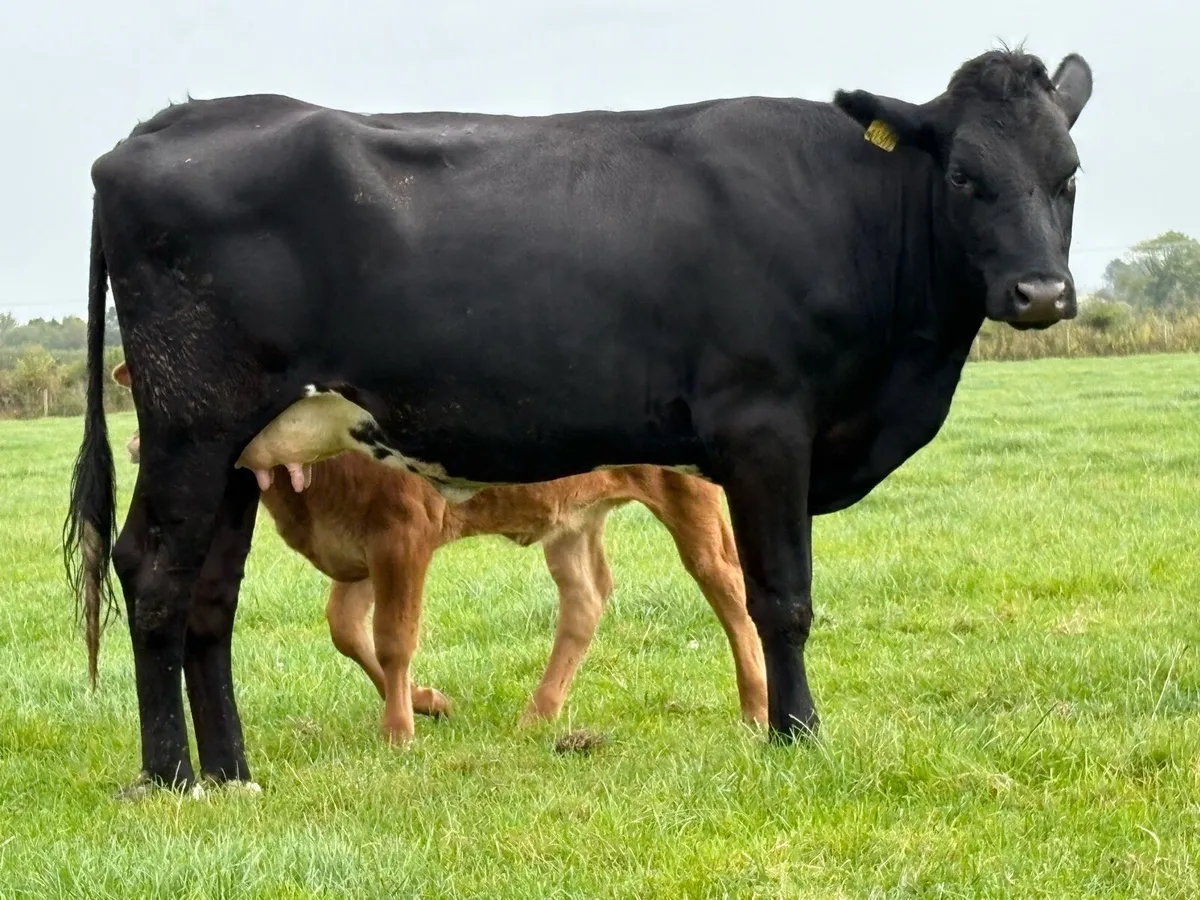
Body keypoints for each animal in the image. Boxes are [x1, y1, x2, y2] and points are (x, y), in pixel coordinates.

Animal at [109, 361, 768, 742]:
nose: (142, 446)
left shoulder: (403, 533)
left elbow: (393, 637)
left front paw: (399, 729)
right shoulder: (359, 552)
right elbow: (345, 630)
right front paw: (428, 703)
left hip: (688, 494)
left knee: (728, 588)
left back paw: (757, 707)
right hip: (572, 521)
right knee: (585, 599)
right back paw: (539, 712)